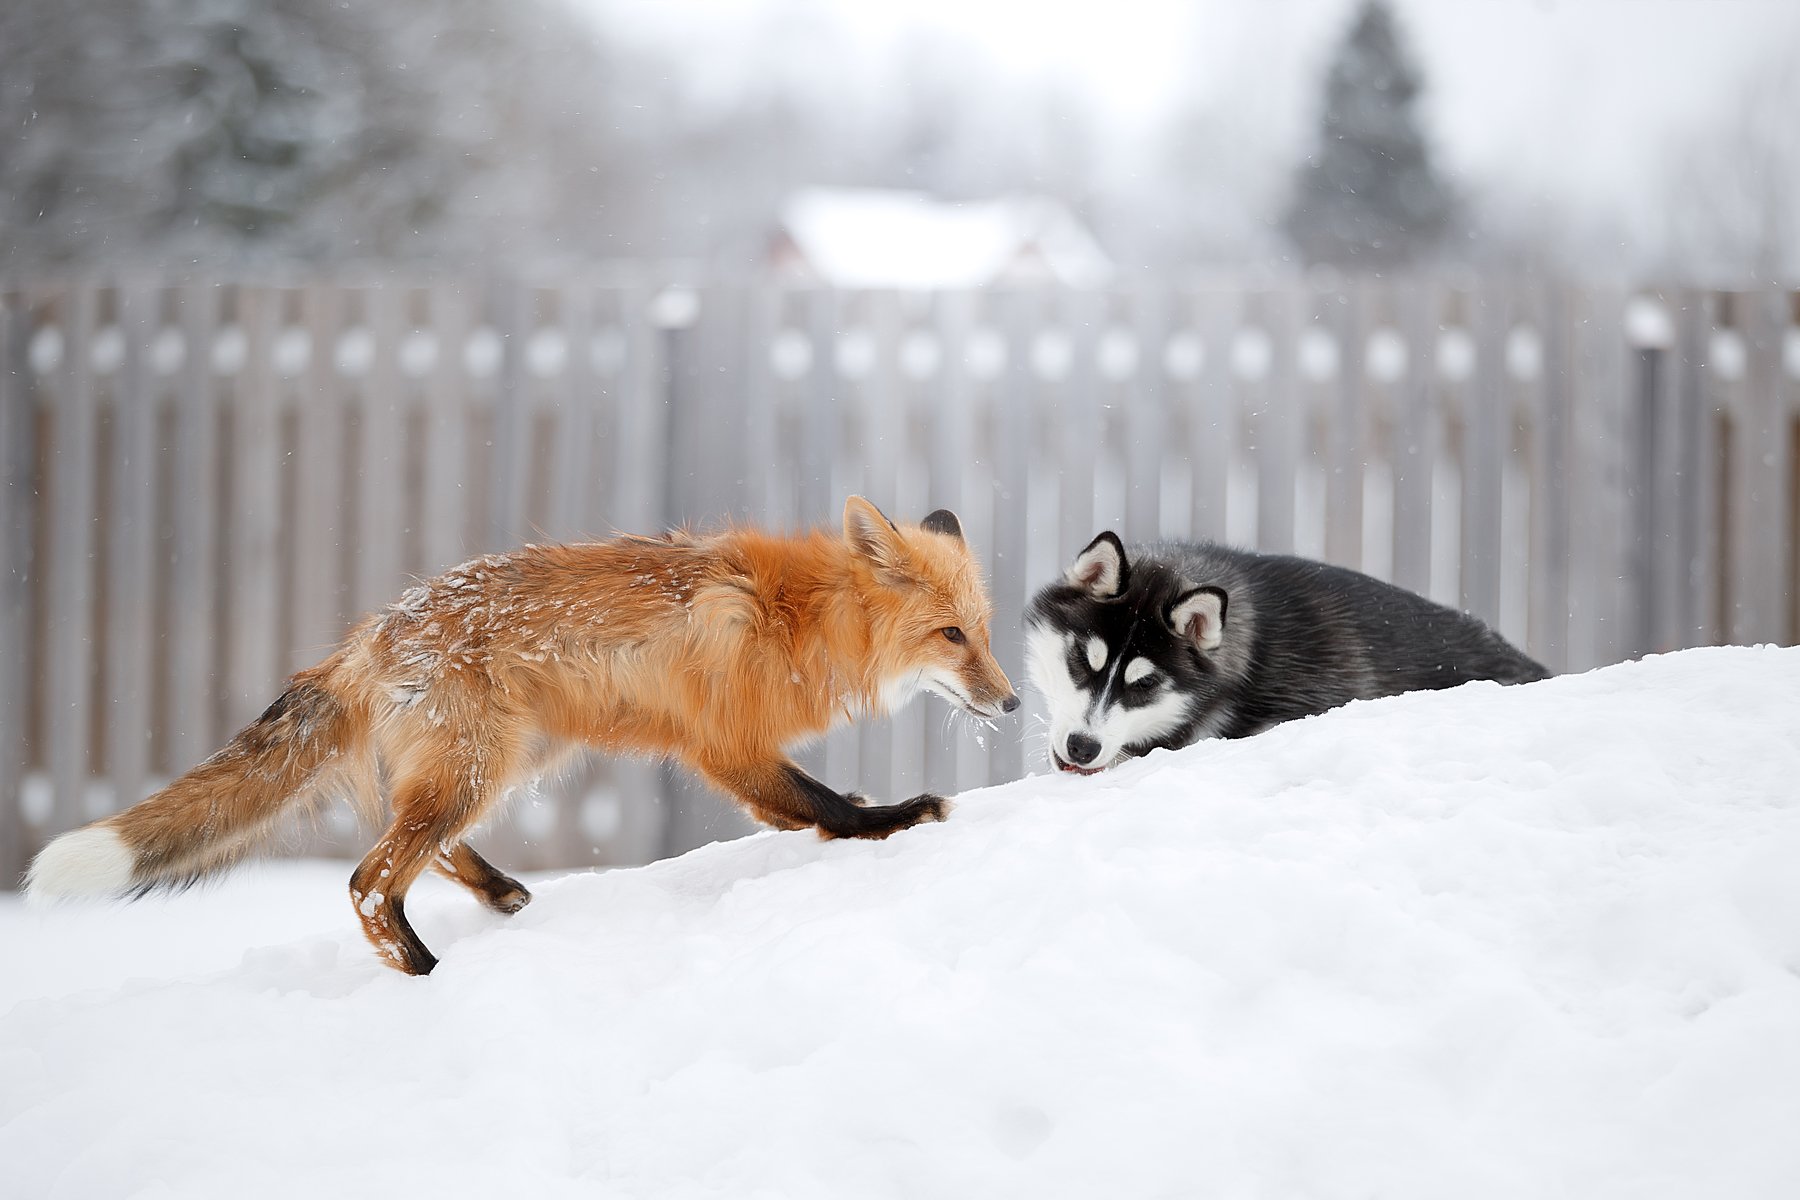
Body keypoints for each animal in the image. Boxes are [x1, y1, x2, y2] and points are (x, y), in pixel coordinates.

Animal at [24, 496, 1015, 978]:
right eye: (951, 637)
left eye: (985, 631)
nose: (1009, 705)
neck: (800, 617)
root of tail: (374, 631)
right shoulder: (724, 744)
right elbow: (821, 806)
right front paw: (896, 818)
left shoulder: (734, 752)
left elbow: (806, 806)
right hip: (482, 763)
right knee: (369, 878)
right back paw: (427, 974)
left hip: (498, 761)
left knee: (413, 838)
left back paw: (499, 895)